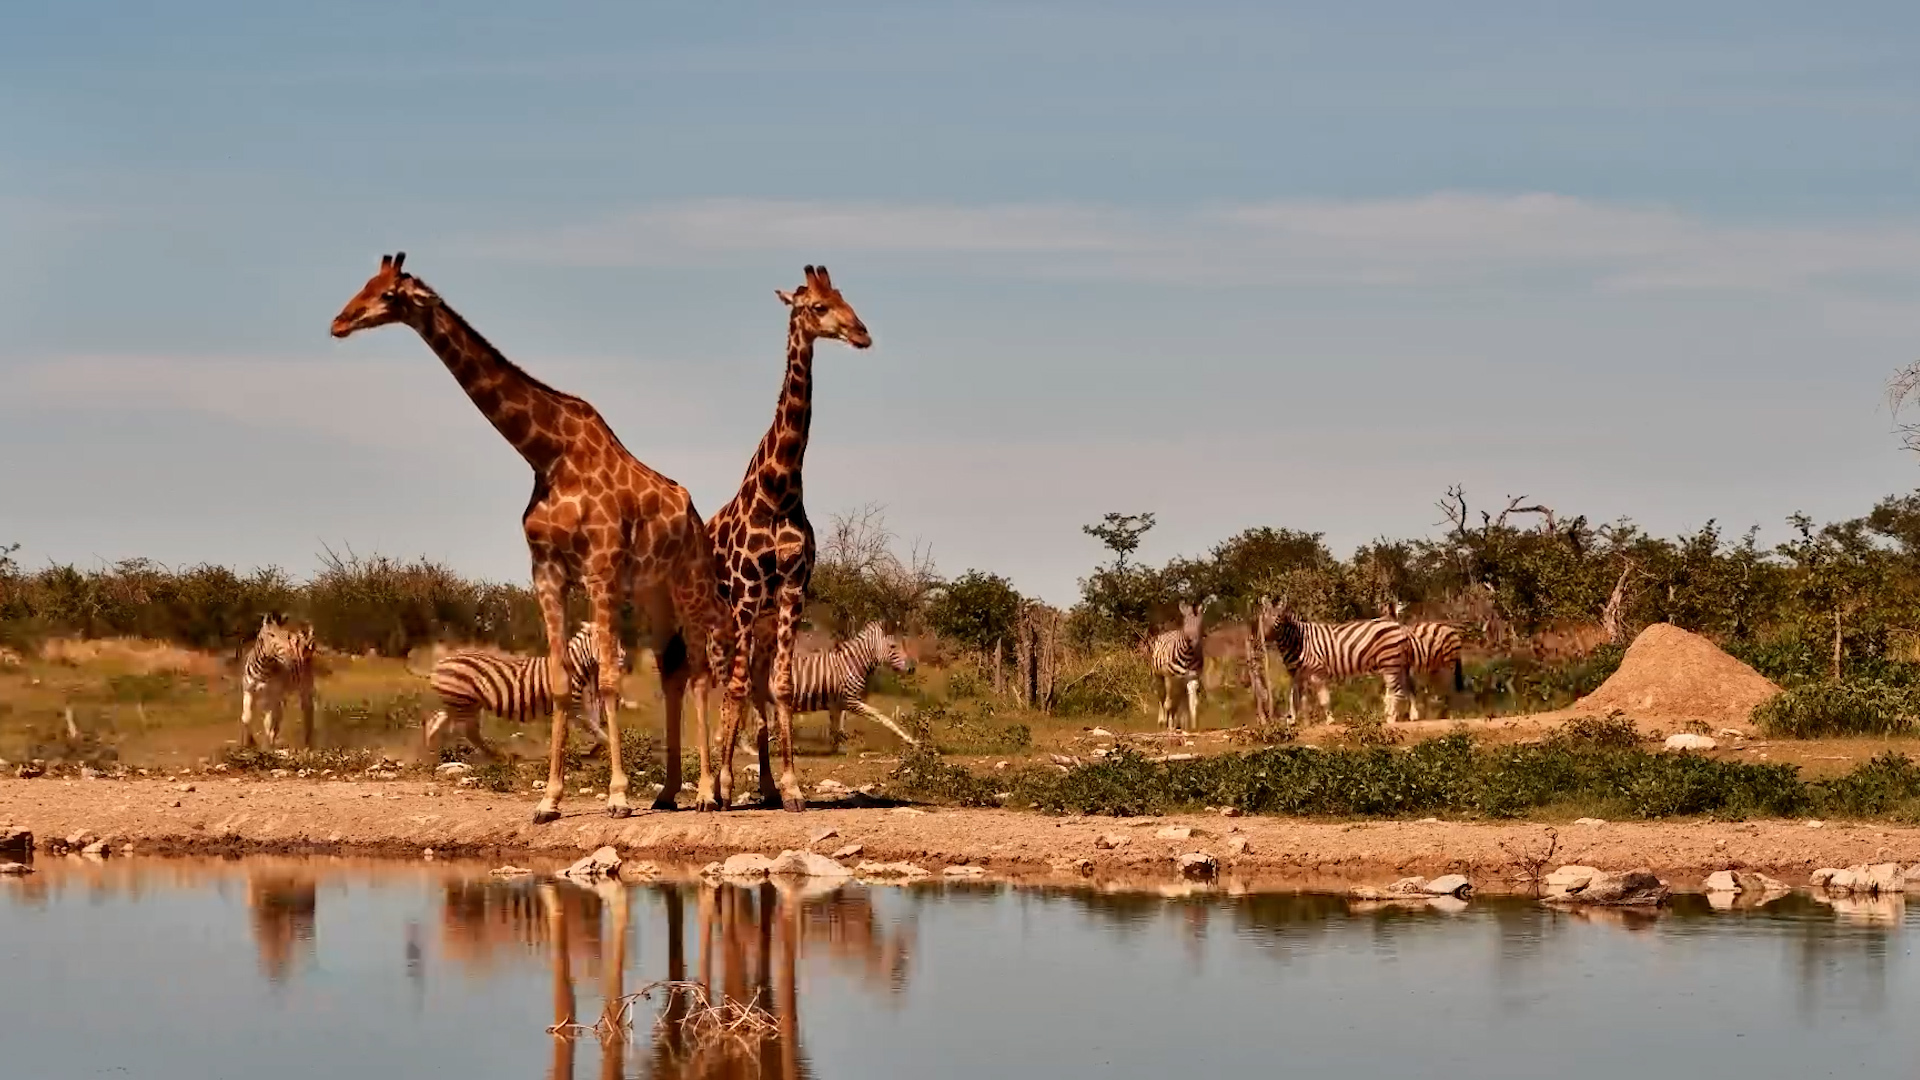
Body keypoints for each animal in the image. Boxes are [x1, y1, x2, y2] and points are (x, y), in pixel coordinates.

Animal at [240, 614, 317, 750]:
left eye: (285, 636)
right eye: (271, 635)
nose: (290, 652)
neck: (262, 669)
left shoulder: (271, 695)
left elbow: (268, 722)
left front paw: (265, 746)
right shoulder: (248, 691)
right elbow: (247, 717)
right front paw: (249, 742)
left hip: (304, 688)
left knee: (307, 711)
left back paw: (308, 741)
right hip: (280, 694)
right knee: (278, 717)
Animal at [417, 625, 625, 761]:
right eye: (608, 643)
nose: (623, 658)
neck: (575, 667)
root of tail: (439, 663)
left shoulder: (578, 706)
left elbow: (591, 728)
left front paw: (592, 752)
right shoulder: (574, 708)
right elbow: (595, 729)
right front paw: (611, 749)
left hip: (461, 703)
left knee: (437, 722)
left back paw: (431, 754)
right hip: (464, 703)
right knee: (468, 731)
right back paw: (497, 757)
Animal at [695, 264, 871, 812]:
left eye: (845, 297)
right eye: (816, 306)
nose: (862, 333)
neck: (780, 488)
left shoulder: (792, 591)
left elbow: (782, 688)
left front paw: (791, 788)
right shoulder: (747, 594)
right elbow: (730, 692)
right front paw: (722, 788)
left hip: (762, 625)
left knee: (752, 687)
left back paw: (764, 787)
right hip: (717, 622)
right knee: (709, 687)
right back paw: (707, 788)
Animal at [1147, 600, 1209, 731]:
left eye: (1200, 624)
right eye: (1186, 623)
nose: (1194, 642)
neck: (1188, 655)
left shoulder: (1192, 678)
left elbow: (1193, 704)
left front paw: (1193, 727)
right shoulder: (1169, 678)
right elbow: (1168, 703)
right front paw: (1169, 726)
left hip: (1181, 682)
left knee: (1181, 702)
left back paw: (1180, 723)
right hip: (1159, 677)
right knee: (1162, 698)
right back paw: (1163, 721)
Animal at [1260, 596, 1413, 726]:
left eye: (1278, 617)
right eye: (1264, 616)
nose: (1266, 637)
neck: (1297, 641)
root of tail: (1394, 622)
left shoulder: (1317, 672)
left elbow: (1323, 699)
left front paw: (1329, 720)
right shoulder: (1296, 674)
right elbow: (1295, 698)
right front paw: (1294, 721)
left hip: (1390, 663)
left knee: (1397, 690)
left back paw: (1391, 718)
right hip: (1395, 664)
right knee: (1402, 688)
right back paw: (1401, 715)